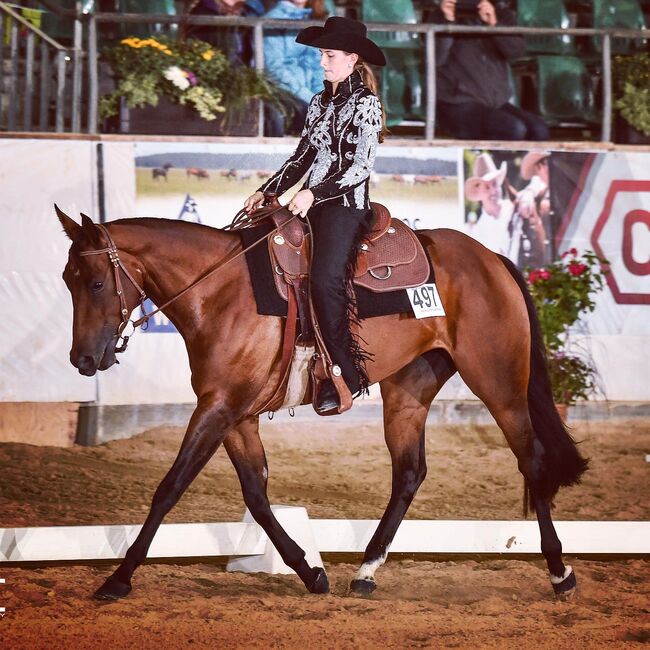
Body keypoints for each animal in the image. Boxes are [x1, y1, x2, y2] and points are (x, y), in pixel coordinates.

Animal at [53, 205, 584, 600]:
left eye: (96, 282)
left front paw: (118, 579)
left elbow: (170, 487)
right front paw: (310, 572)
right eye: (66, 280)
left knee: (532, 460)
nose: (82, 359)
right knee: (409, 473)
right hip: (408, 391)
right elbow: (256, 495)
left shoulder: (217, 408)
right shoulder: (236, 415)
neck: (221, 291)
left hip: (500, 384)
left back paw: (560, 573)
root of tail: (490, 257)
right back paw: (366, 571)